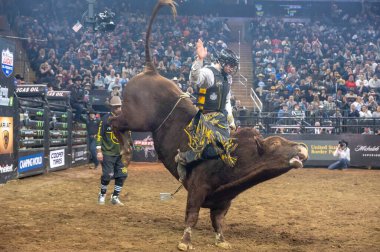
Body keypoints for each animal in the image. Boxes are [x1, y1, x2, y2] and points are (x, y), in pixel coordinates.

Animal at [110, 0, 308, 249]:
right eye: (274, 144)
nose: (302, 147)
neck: (235, 157)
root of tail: (150, 71)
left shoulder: (224, 200)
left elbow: (218, 221)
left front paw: (221, 240)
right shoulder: (196, 189)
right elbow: (192, 216)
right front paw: (185, 241)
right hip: (137, 118)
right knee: (114, 121)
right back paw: (127, 150)